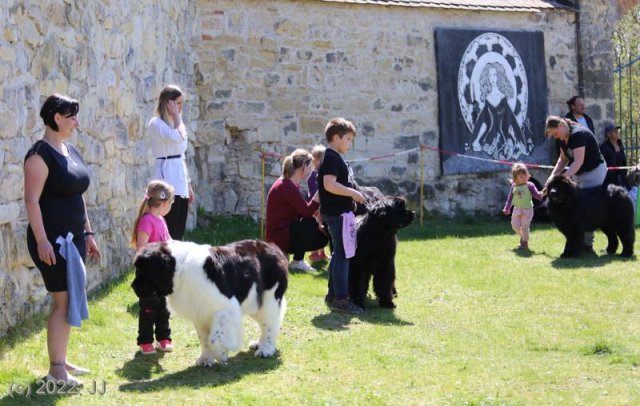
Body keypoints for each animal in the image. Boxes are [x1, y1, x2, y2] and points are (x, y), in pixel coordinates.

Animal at [132, 239, 288, 366]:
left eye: (143, 272)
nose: (133, 286)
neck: (180, 270)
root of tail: (274, 247)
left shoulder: (226, 309)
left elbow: (214, 338)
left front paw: (222, 354)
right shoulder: (199, 314)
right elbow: (204, 339)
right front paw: (206, 359)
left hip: (269, 299)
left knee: (270, 325)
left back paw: (266, 349)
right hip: (255, 302)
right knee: (265, 324)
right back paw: (259, 344)